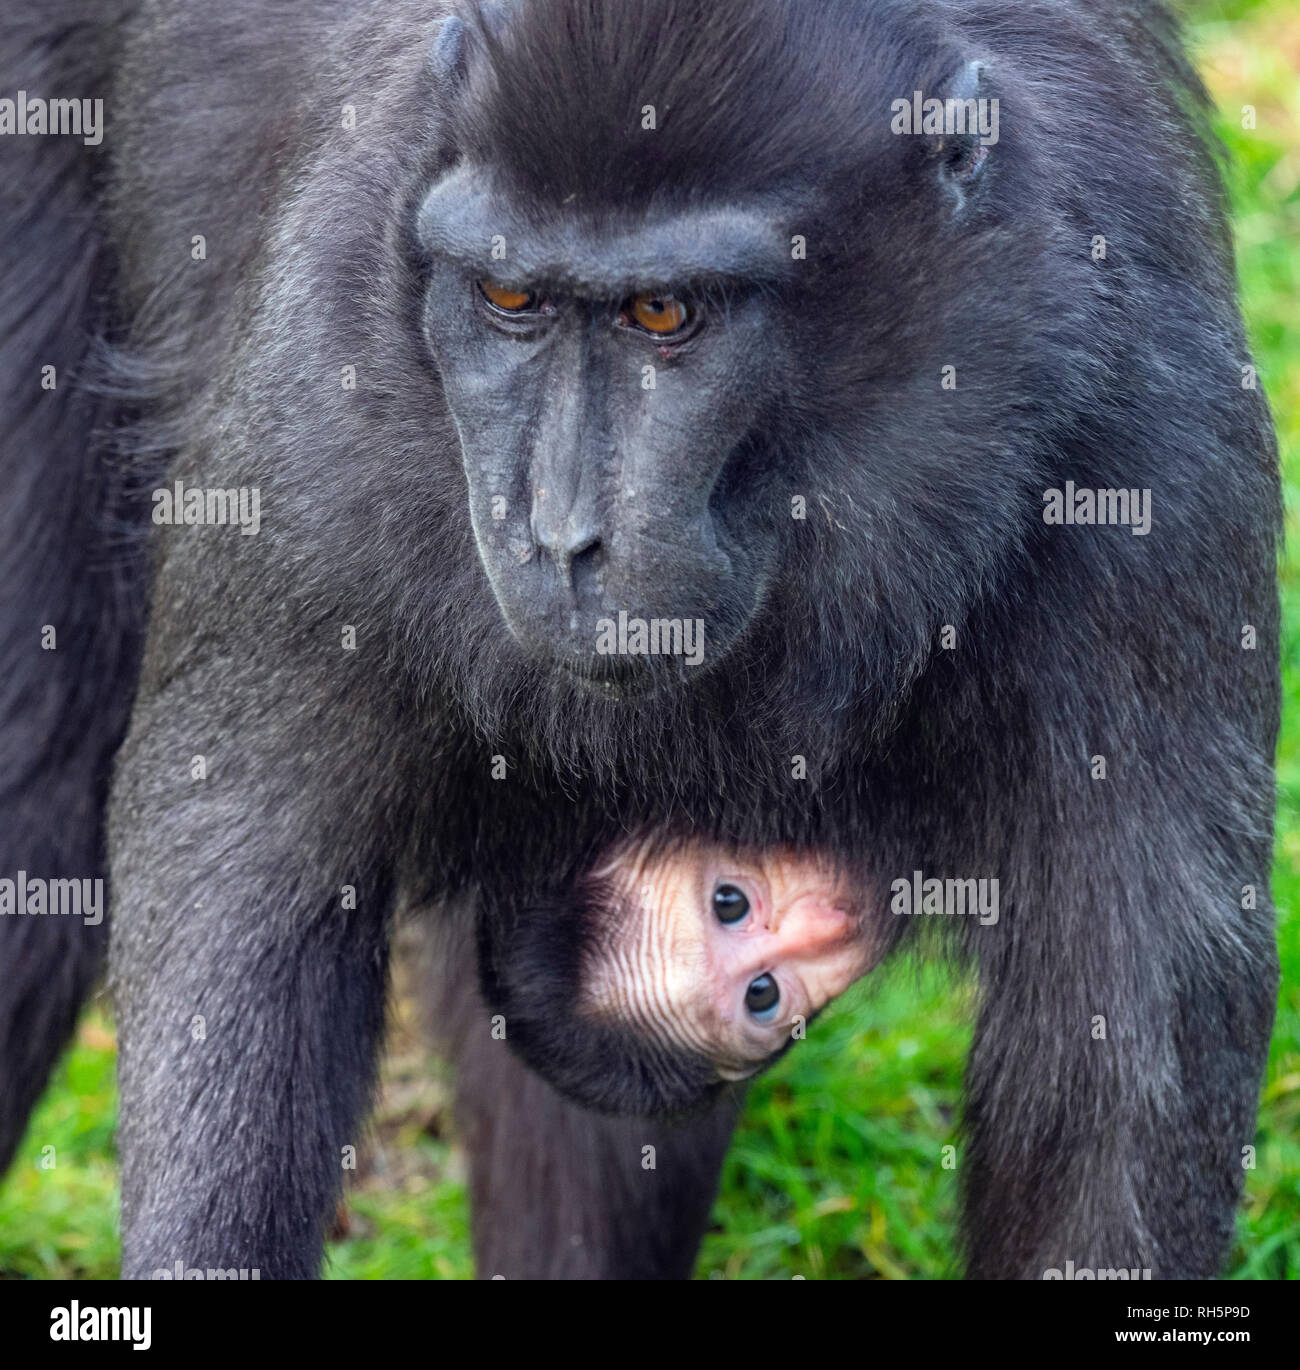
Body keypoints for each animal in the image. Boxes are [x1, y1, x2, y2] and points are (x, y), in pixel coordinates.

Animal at [0, 0, 1279, 1282]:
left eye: (664, 314)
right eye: (508, 301)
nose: (559, 534)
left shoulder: (1142, 419)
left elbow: (1129, 1025)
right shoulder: (327, 397)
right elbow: (236, 863)